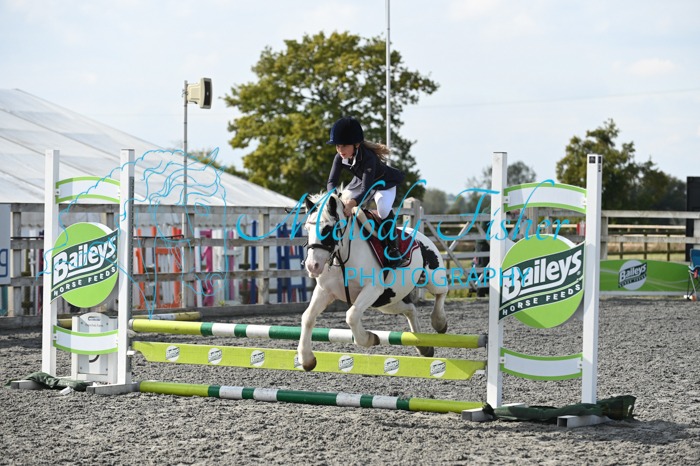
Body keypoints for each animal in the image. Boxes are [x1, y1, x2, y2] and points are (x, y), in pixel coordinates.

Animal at [297, 190, 448, 372]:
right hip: (387, 302)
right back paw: (424, 347)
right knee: (410, 309)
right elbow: (308, 317)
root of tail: (418, 235)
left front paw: (370, 338)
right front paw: (306, 359)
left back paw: (439, 322)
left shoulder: (372, 289)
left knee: (441, 293)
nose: (312, 266)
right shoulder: (325, 292)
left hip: (433, 278)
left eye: (328, 229)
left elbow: (351, 316)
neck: (343, 257)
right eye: (307, 228)